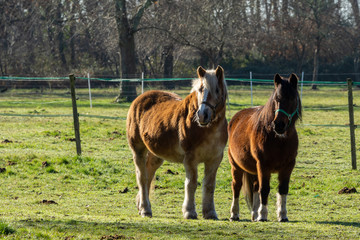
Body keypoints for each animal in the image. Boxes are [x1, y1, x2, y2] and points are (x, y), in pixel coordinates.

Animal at [126, 65, 228, 219]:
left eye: (216, 90)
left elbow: (209, 185)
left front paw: (210, 213)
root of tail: (139, 99)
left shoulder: (214, 159)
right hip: (138, 151)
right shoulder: (190, 159)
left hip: (156, 155)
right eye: (200, 89)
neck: (208, 129)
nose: (202, 115)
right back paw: (145, 209)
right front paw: (189, 211)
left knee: (149, 175)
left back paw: (141, 205)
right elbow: (191, 183)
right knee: (142, 178)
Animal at [228, 72, 300, 221]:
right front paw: (263, 215)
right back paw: (235, 214)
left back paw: (254, 215)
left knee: (255, 187)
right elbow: (265, 189)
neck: (278, 139)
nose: (279, 125)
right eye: (276, 99)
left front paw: (282, 215)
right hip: (236, 166)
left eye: (292, 98)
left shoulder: (288, 166)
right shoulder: (263, 165)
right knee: (236, 187)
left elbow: (283, 189)